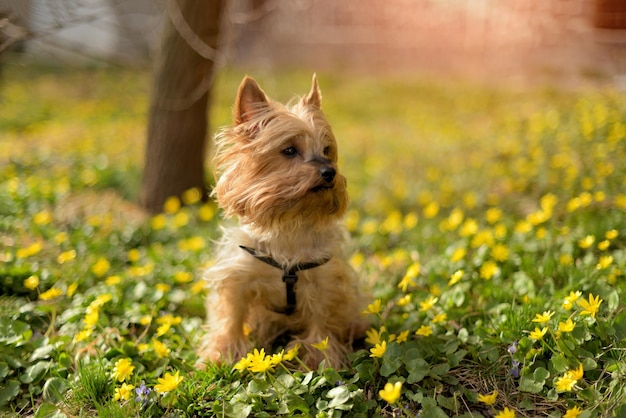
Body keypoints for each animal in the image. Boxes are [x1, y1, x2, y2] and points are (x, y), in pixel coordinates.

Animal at [197, 75, 364, 370]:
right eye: (289, 150)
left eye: (327, 150)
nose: (330, 172)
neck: (289, 222)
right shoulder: (237, 276)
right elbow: (231, 316)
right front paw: (221, 354)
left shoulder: (324, 282)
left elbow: (321, 323)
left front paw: (320, 359)